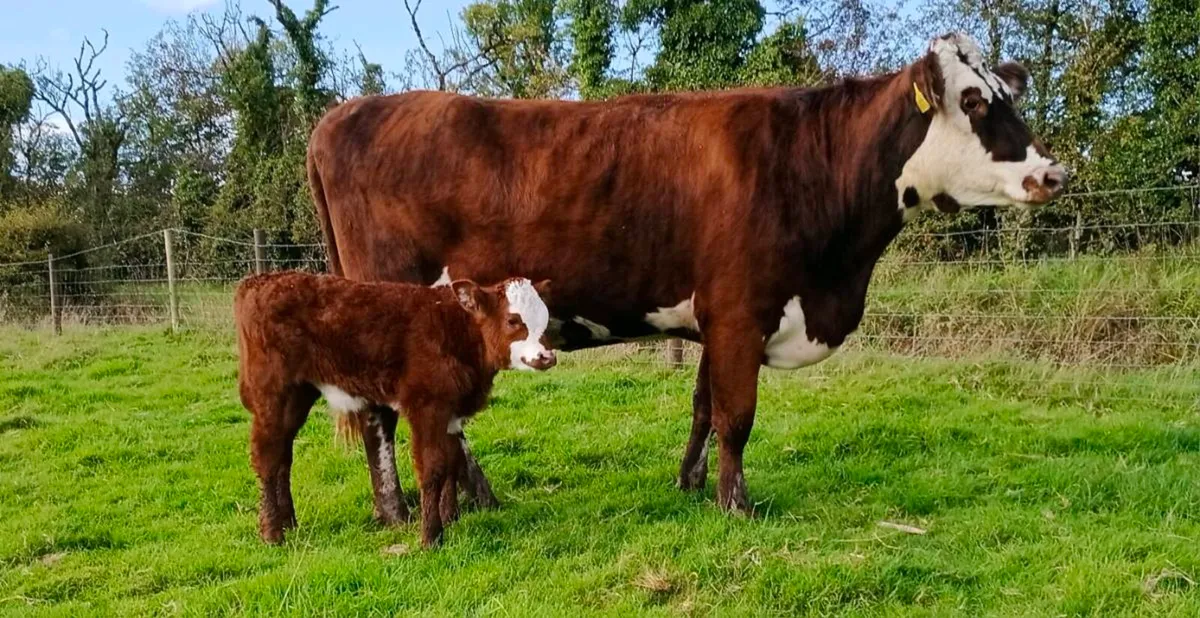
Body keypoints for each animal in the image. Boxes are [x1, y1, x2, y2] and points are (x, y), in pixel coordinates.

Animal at [234, 271, 555, 547]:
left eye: (546, 319)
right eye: (513, 320)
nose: (547, 356)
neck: (457, 330)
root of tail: (257, 281)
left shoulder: (451, 410)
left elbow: (452, 461)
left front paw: (451, 518)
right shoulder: (427, 406)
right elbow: (432, 467)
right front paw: (431, 537)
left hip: (298, 394)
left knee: (282, 456)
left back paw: (289, 523)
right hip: (272, 394)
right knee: (267, 458)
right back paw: (273, 533)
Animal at [305, 32, 1067, 516]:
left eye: (1007, 96)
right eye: (974, 102)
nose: (1052, 174)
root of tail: (344, 113)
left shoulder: (715, 316)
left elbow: (703, 406)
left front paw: (691, 485)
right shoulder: (740, 310)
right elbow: (736, 415)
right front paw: (737, 504)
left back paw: (480, 499)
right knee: (378, 414)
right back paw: (398, 511)